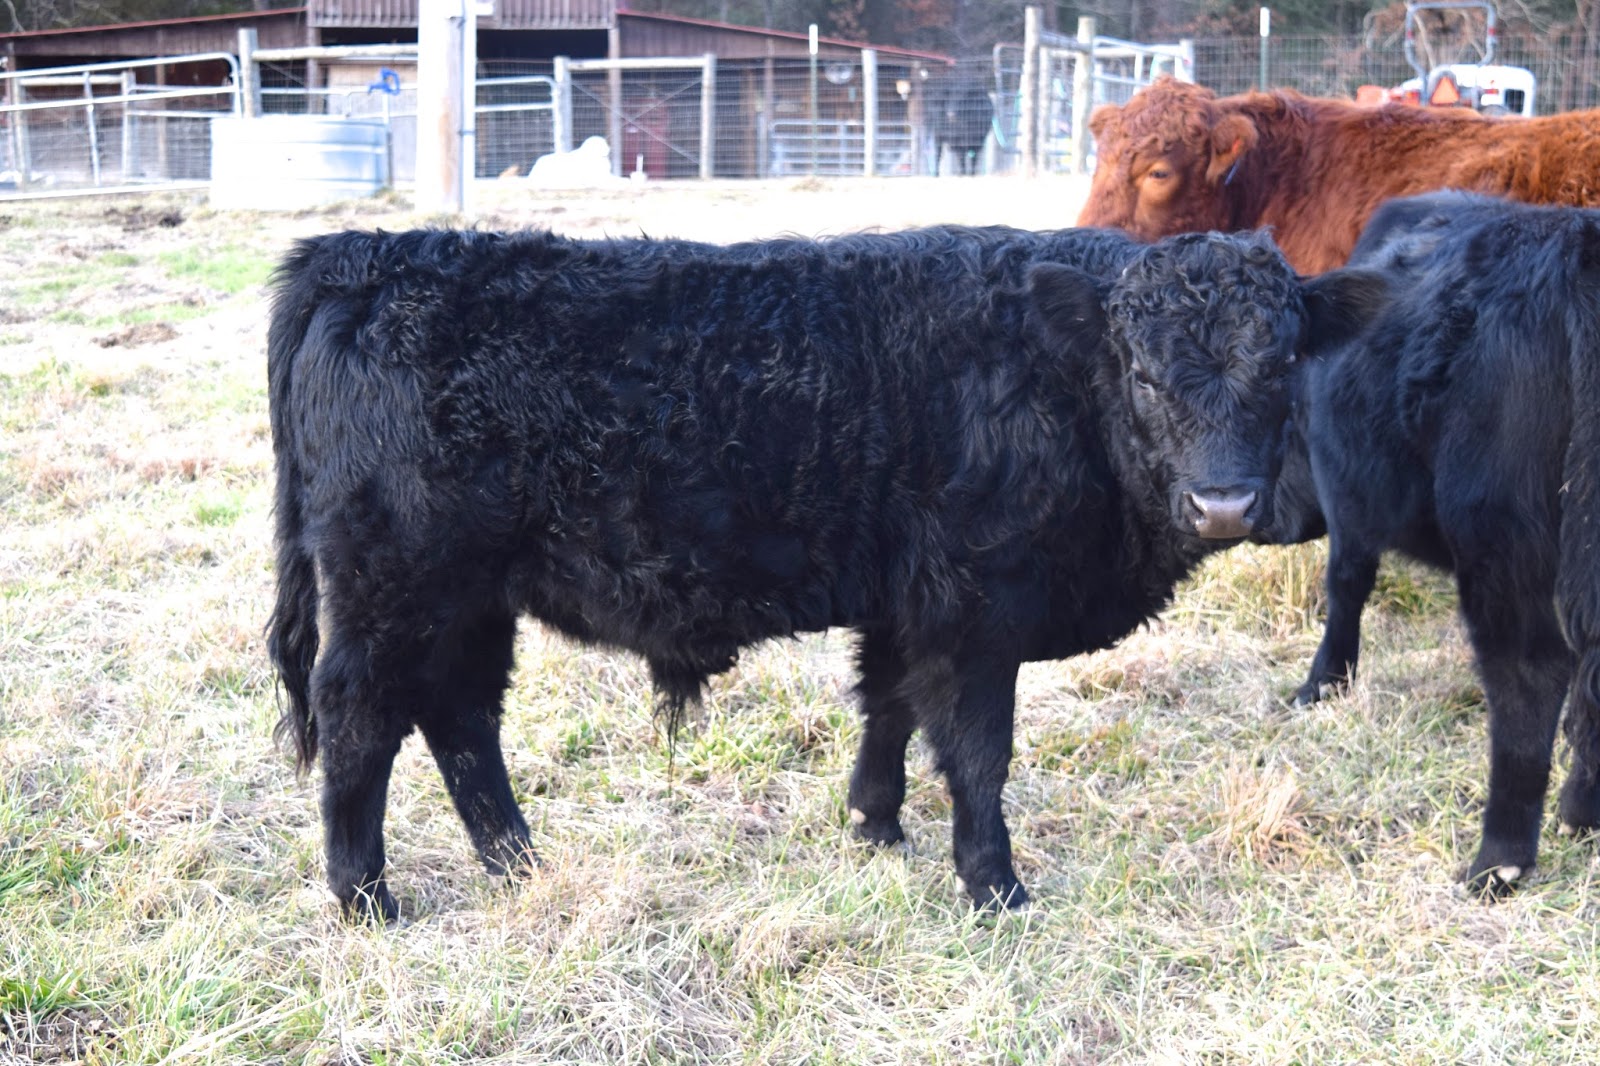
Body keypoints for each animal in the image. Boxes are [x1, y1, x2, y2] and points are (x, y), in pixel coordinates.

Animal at [266, 223, 1385, 922]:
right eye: (1145, 373)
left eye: (1281, 364)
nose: (1225, 504)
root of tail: (367, 256)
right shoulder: (975, 610)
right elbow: (976, 752)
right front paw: (994, 889)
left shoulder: (906, 601)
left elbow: (886, 707)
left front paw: (875, 828)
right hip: (391, 585)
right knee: (363, 720)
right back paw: (366, 898)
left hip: (467, 599)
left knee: (460, 718)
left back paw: (519, 864)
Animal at [1260, 192, 1600, 895]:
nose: (1263, 520)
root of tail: (1576, 243)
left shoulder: (1347, 495)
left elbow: (1345, 585)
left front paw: (1323, 683)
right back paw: (1582, 812)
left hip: (1500, 542)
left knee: (1530, 675)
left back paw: (1499, 860)